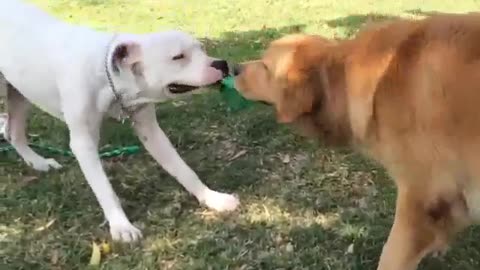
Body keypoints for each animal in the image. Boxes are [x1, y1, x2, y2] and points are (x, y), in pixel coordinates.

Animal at [0, 0, 240, 243]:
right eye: (178, 57)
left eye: (201, 49)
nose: (221, 64)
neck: (109, 75)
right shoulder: (83, 142)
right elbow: (105, 188)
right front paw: (121, 226)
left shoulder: (151, 131)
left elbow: (183, 169)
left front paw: (212, 198)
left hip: (19, 94)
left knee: (13, 132)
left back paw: (38, 163)